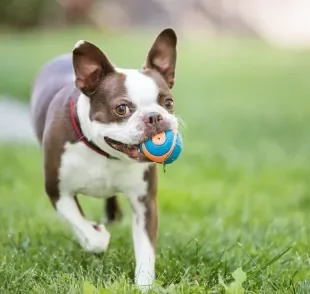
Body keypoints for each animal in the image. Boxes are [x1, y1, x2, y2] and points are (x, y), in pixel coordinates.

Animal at [29, 27, 179, 290]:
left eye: (168, 102)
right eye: (121, 109)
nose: (154, 117)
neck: (105, 152)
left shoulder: (145, 203)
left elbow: (146, 249)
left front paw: (144, 285)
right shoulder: (58, 191)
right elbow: (87, 231)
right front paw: (97, 234)